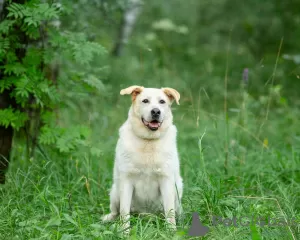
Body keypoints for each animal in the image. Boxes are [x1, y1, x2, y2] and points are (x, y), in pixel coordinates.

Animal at [102, 85, 183, 232]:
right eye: (145, 101)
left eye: (162, 102)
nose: (156, 111)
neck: (148, 141)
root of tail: (146, 216)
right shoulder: (126, 180)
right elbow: (124, 212)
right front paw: (124, 232)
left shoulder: (166, 180)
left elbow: (170, 212)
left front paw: (171, 232)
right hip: (115, 191)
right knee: (116, 212)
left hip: (178, 191)